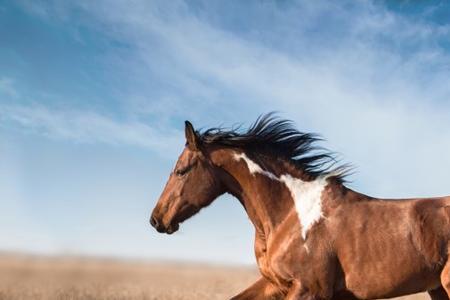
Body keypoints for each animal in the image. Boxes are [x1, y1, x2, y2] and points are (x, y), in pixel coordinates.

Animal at [149, 113, 450, 298]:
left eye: (181, 171)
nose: (156, 219)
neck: (289, 215)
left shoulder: (309, 288)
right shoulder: (276, 283)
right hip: (436, 288)